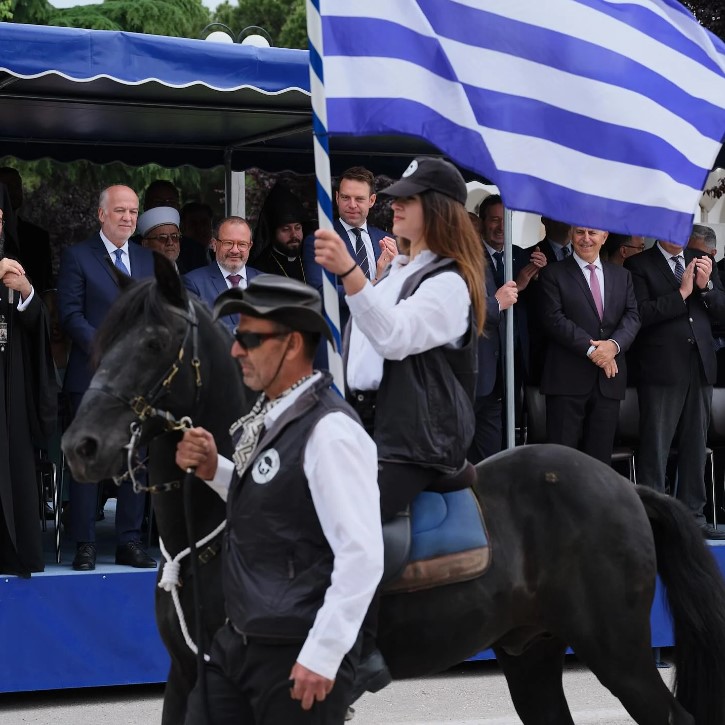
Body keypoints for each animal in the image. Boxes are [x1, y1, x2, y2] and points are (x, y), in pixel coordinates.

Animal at [60, 262, 724, 724]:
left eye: (153, 343)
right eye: (101, 341)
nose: (80, 446)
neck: (213, 535)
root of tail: (626, 487)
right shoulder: (187, 677)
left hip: (619, 653)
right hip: (530, 654)